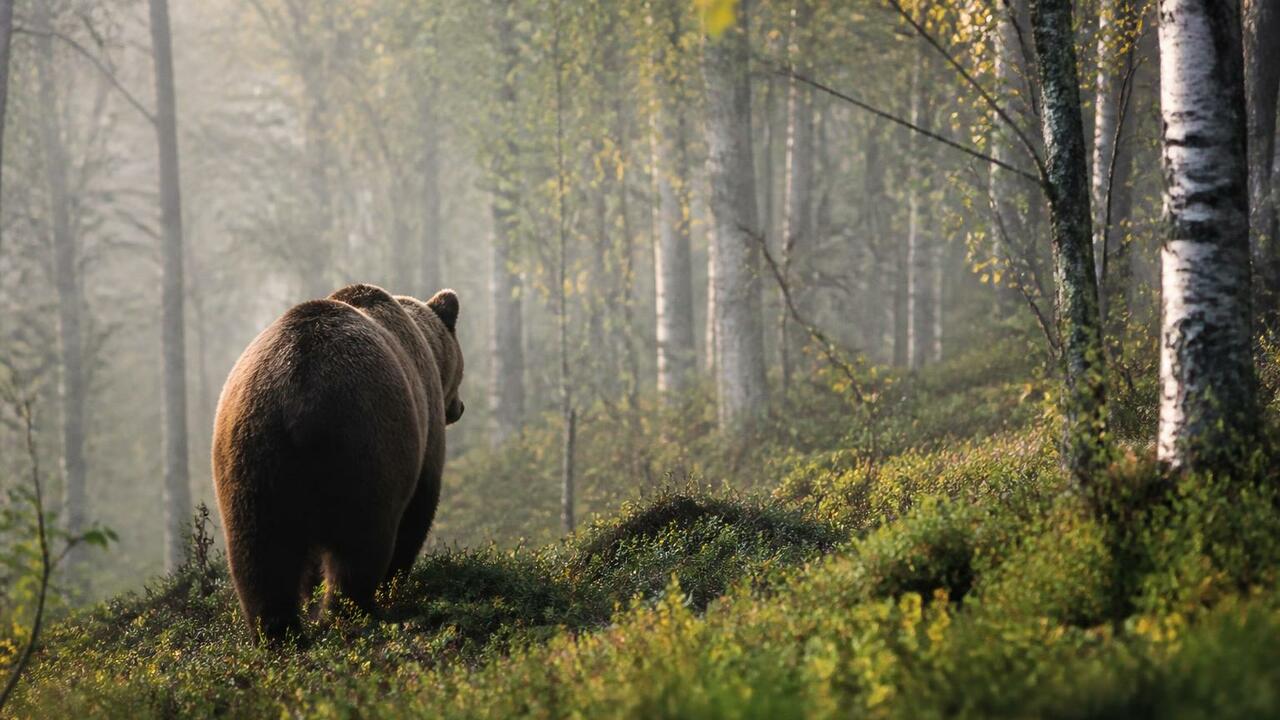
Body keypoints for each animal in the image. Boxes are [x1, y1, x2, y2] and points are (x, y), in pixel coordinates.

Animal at [211, 283, 464, 642]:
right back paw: (347, 614)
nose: (459, 407)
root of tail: (298, 393)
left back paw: (279, 632)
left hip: (251, 450)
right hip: (366, 442)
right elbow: (419, 509)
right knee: (361, 542)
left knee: (258, 552)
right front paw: (396, 582)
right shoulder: (424, 426)